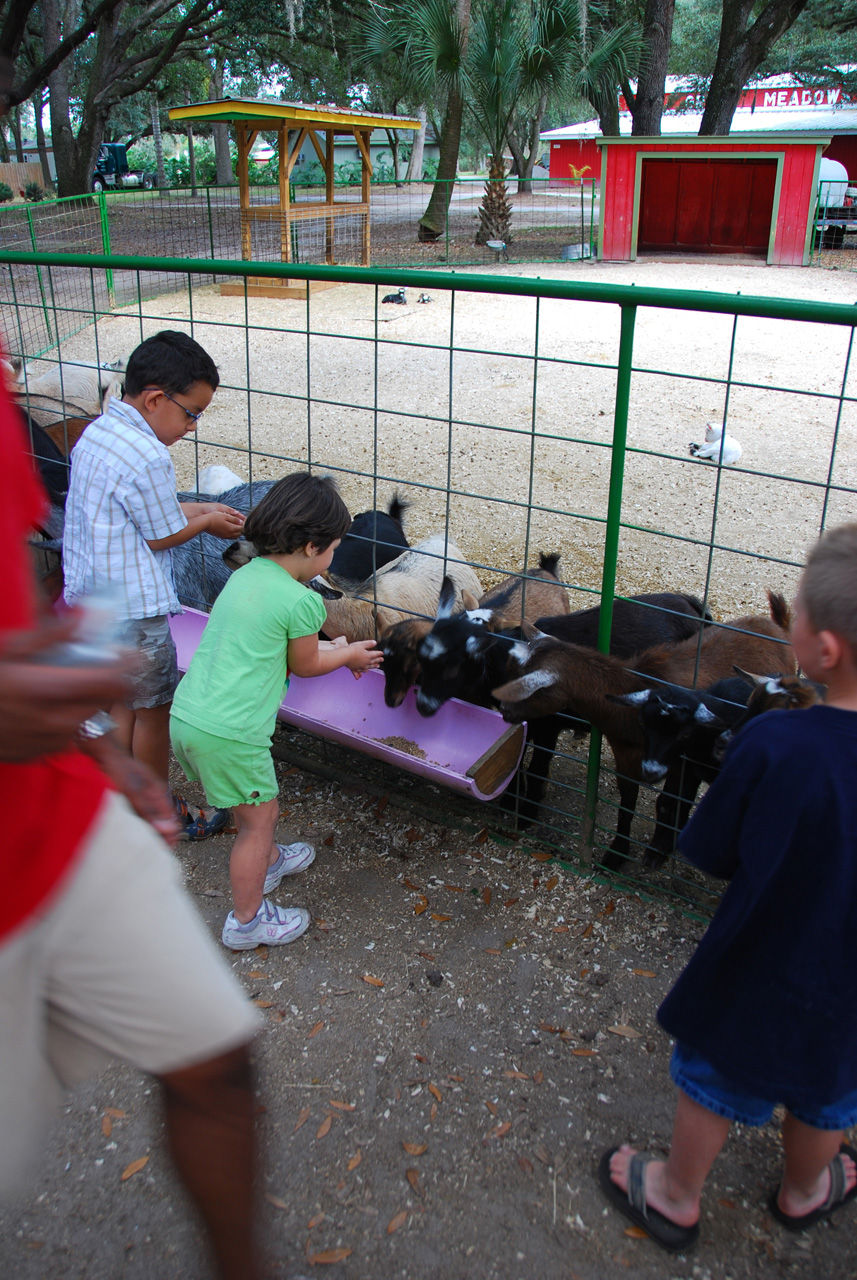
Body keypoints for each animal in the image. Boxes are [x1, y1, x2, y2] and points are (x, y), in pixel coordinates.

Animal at [493, 588, 798, 870]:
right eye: (508, 670)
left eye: (526, 686)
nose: (503, 709)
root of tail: (776, 626)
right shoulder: (626, 757)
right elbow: (626, 806)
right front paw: (616, 854)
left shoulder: (677, 761)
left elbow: (666, 802)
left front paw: (655, 852)